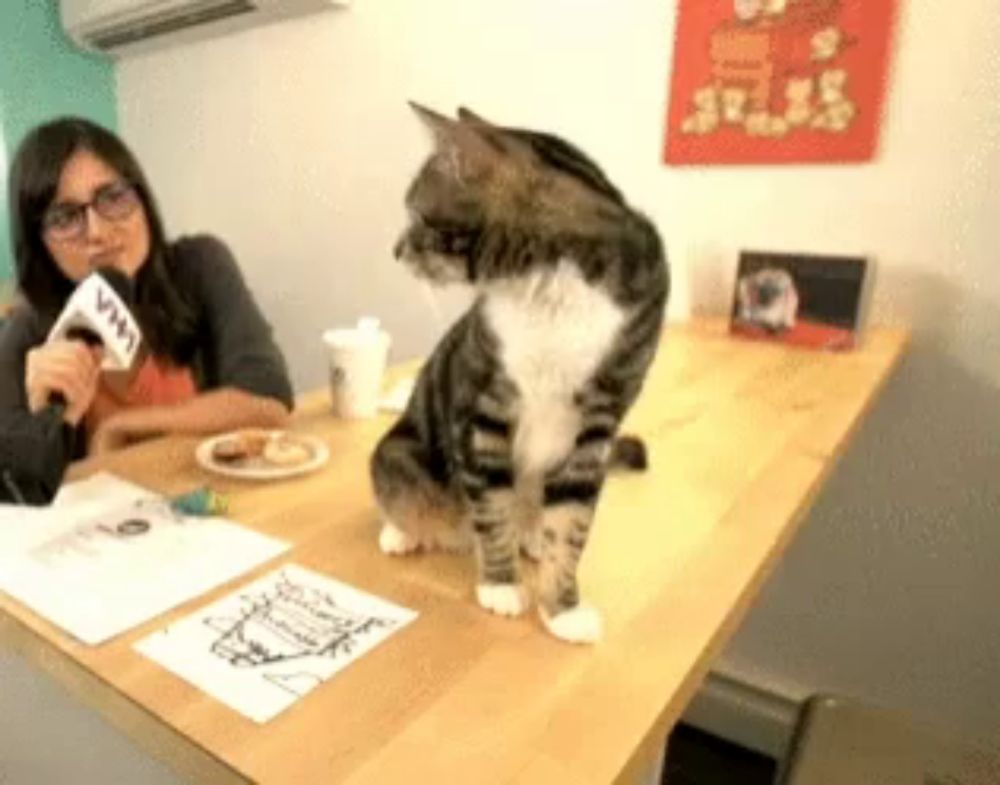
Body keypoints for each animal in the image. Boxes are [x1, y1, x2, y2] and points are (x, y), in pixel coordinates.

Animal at [372, 104, 668, 644]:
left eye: (417, 215)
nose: (395, 250)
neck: (548, 282)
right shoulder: (481, 407)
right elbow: (491, 507)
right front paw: (501, 586)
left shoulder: (598, 423)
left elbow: (572, 524)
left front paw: (563, 607)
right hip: (399, 453)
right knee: (406, 492)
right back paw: (403, 532)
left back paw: (530, 536)